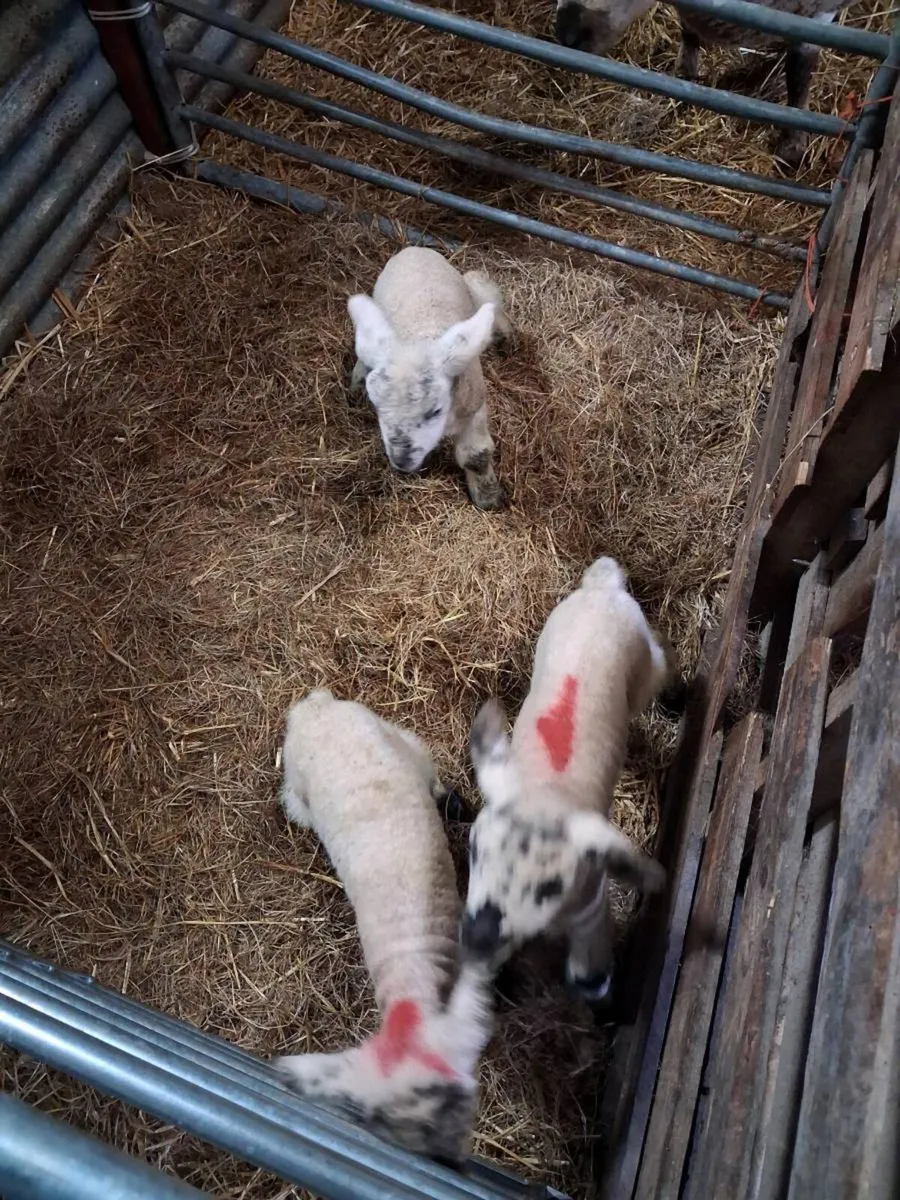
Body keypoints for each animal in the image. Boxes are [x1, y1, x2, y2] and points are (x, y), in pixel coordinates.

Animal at [348, 246, 511, 511]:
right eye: (376, 406)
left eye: (435, 410)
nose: (401, 460)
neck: (421, 335)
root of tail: (414, 248)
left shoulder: (475, 405)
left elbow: (476, 456)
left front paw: (488, 498)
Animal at [459, 557, 669, 1004]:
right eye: (473, 848)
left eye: (551, 887)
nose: (476, 937)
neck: (548, 791)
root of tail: (604, 588)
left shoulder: (592, 900)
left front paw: (593, 983)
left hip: (646, 659)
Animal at [553, 0, 853, 167]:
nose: (567, 35)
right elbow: (688, 32)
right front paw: (684, 75)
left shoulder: (820, 14)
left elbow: (800, 71)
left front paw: (792, 147)